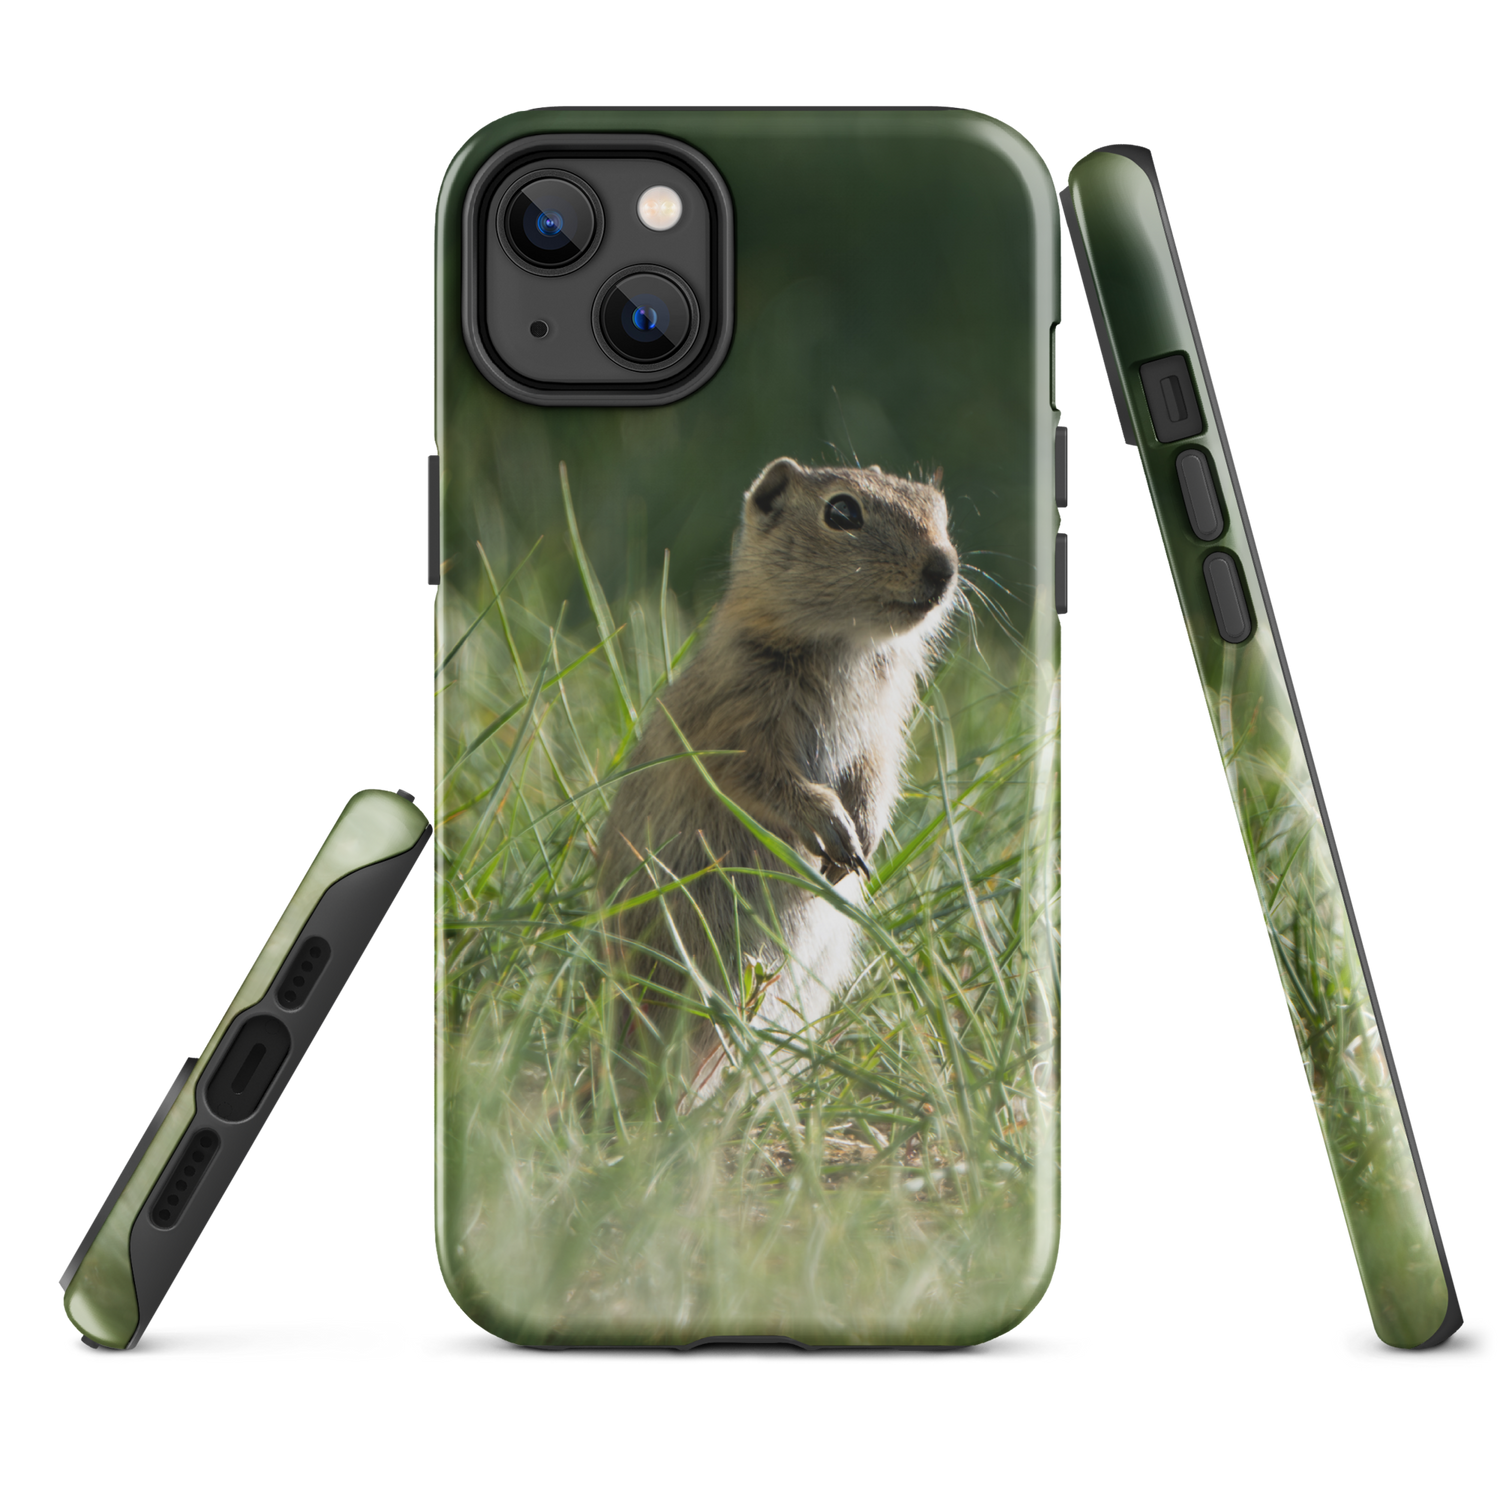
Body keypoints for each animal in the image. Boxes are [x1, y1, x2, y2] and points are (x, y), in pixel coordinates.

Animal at [595, 456, 960, 1108]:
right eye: (842, 511)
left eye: (940, 512)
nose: (943, 569)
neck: (846, 646)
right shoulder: (737, 726)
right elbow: (768, 780)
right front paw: (836, 834)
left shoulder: (884, 734)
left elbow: (876, 779)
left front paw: (859, 846)